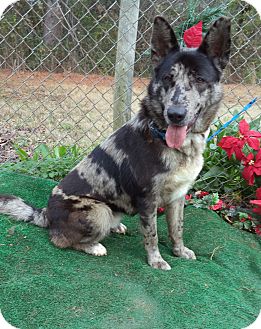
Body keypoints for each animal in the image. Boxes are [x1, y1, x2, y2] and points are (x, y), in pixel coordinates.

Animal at [0, 16, 230, 270]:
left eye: (199, 79)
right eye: (168, 78)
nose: (175, 115)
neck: (170, 140)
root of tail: (45, 214)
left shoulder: (178, 197)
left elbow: (176, 229)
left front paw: (179, 251)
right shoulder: (148, 200)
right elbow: (152, 234)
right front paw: (156, 261)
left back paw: (116, 226)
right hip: (98, 211)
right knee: (60, 239)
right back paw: (94, 246)